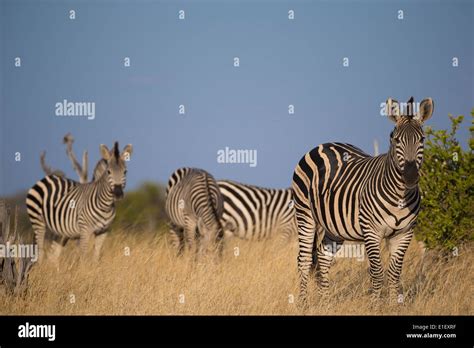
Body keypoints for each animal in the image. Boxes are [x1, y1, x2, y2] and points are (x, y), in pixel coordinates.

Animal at [294, 96, 436, 306]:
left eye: (422, 139)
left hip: (333, 227)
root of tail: (323, 144)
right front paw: (375, 306)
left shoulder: (404, 233)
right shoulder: (372, 232)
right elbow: (377, 273)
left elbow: (394, 273)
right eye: (395, 139)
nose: (410, 176)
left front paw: (394, 306)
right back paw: (303, 304)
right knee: (303, 260)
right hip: (305, 214)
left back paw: (326, 302)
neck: (400, 197)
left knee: (323, 256)